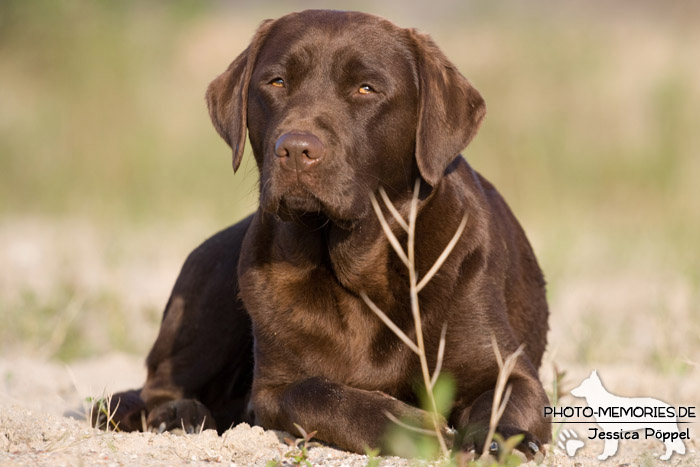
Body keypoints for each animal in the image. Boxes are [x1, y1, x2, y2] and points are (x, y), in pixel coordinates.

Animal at [98, 9, 556, 458]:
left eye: (366, 88)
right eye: (277, 82)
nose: (296, 149)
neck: (357, 271)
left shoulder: (508, 370)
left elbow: (502, 401)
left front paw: (497, 440)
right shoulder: (273, 389)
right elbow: (321, 395)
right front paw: (420, 429)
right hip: (210, 290)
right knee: (157, 385)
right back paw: (180, 414)